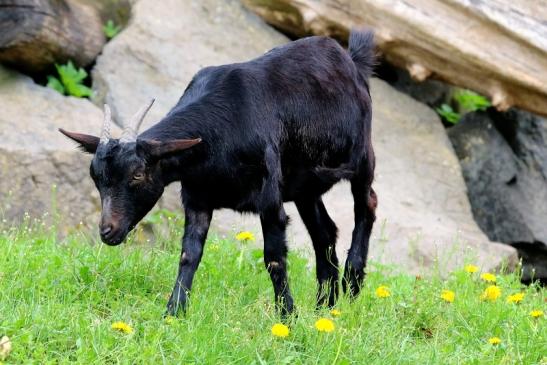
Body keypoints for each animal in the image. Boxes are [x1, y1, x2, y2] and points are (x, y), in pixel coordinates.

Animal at [60, 30, 376, 316]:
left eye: (137, 175)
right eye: (96, 178)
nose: (107, 231)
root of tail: (351, 59)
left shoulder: (269, 198)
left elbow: (274, 257)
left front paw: (287, 315)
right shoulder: (197, 198)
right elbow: (189, 254)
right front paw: (173, 313)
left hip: (362, 155)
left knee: (367, 203)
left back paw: (352, 281)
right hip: (304, 187)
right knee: (325, 232)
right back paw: (325, 307)